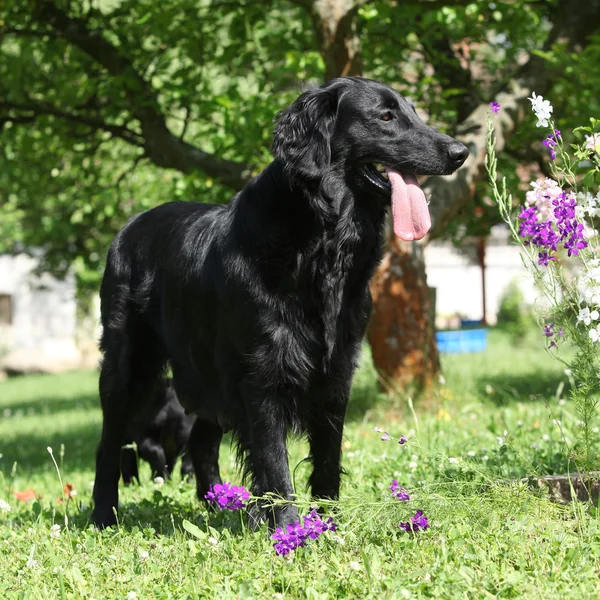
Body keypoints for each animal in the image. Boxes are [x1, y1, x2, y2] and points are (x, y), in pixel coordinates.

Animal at [92, 76, 468, 528]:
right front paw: (290, 530)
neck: (322, 245)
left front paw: (328, 524)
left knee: (200, 441)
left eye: (413, 111)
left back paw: (216, 504)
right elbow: (275, 464)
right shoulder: (263, 376)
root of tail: (128, 227)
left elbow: (327, 461)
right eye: (385, 116)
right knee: (110, 445)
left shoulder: (335, 374)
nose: (461, 152)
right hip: (128, 368)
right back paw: (103, 515)